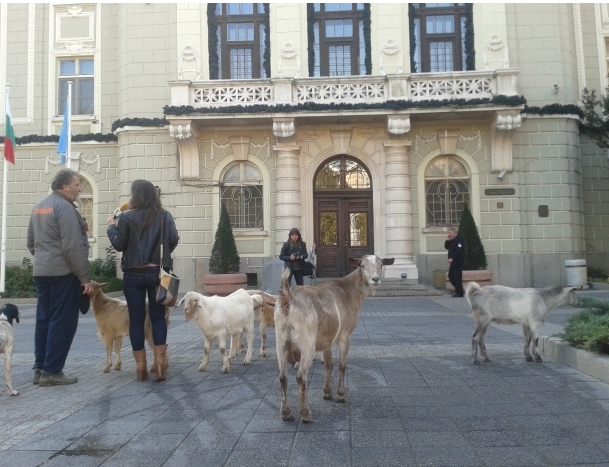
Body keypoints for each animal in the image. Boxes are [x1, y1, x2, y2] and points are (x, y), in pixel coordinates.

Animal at [276, 256, 394, 424]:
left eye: (381, 264)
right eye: (362, 266)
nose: (375, 279)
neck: (349, 292)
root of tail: (287, 298)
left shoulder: (326, 341)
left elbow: (329, 365)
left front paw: (327, 393)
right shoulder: (345, 336)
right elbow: (342, 366)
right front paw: (341, 395)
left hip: (281, 342)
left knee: (282, 377)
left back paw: (286, 413)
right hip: (307, 344)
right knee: (300, 377)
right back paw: (306, 414)